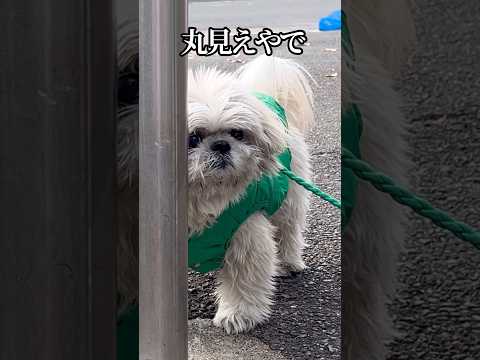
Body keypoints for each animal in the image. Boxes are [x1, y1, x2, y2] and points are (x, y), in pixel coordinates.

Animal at [116, 26, 316, 334]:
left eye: (237, 133)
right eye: (192, 138)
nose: (221, 145)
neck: (201, 197)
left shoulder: (246, 231)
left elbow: (244, 279)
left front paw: (237, 315)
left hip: (288, 199)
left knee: (288, 230)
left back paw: (288, 263)